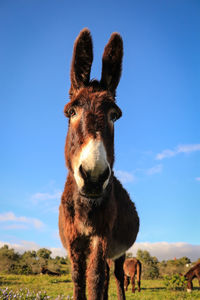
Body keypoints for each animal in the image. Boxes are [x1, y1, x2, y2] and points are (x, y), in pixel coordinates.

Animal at [57, 28, 139, 300]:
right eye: (71, 112)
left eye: (114, 116)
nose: (93, 176)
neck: (86, 206)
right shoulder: (74, 241)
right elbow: (79, 283)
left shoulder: (100, 237)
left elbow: (94, 281)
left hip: (119, 251)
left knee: (116, 277)